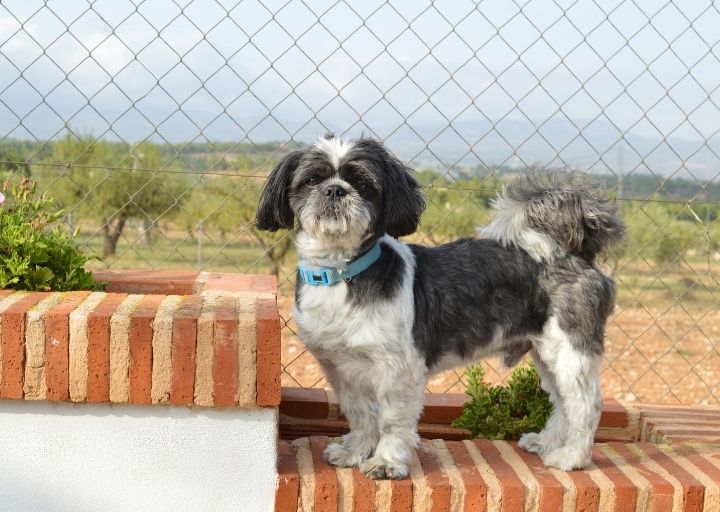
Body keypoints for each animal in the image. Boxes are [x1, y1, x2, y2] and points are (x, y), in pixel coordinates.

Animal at [255, 136, 624, 480]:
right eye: (311, 180)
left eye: (363, 183)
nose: (335, 190)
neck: (342, 274)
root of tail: (573, 253)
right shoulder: (342, 369)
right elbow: (360, 414)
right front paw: (356, 452)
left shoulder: (398, 370)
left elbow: (391, 421)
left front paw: (386, 463)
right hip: (546, 352)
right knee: (563, 401)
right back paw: (548, 443)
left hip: (570, 349)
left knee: (585, 405)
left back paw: (571, 457)